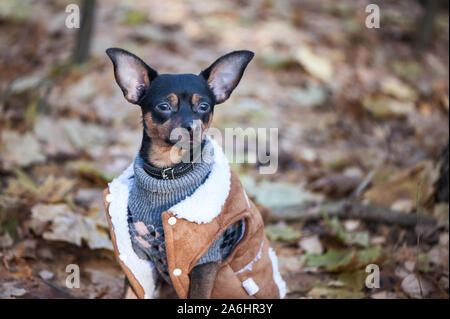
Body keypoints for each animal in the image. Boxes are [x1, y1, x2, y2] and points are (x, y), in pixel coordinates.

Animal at [103, 48, 284, 300]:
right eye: (163, 107)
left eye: (204, 106)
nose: (192, 126)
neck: (168, 173)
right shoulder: (139, 259)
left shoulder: (206, 262)